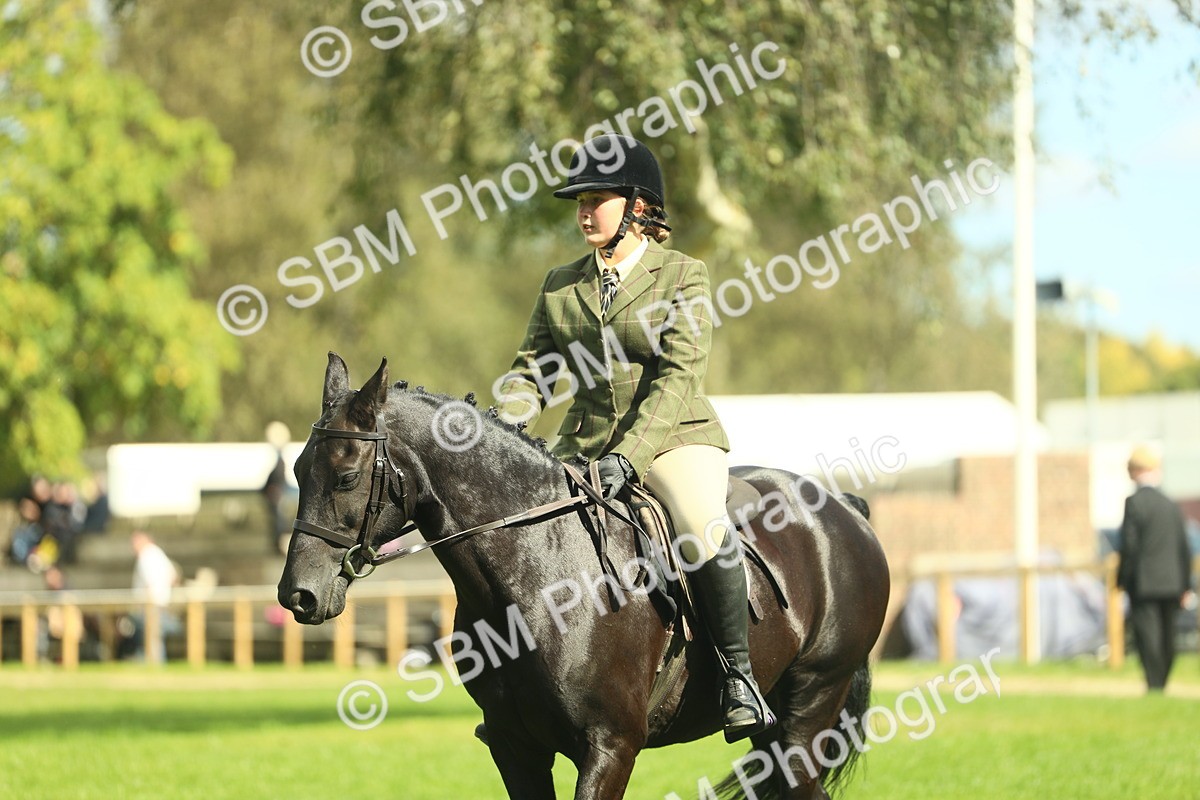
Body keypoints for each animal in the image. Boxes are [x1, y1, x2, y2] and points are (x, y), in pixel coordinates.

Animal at [278, 354, 890, 800]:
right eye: (297, 471)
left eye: (347, 477)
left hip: (809, 707)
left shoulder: (610, 748)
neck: (536, 579)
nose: (297, 595)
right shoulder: (514, 746)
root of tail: (842, 506)